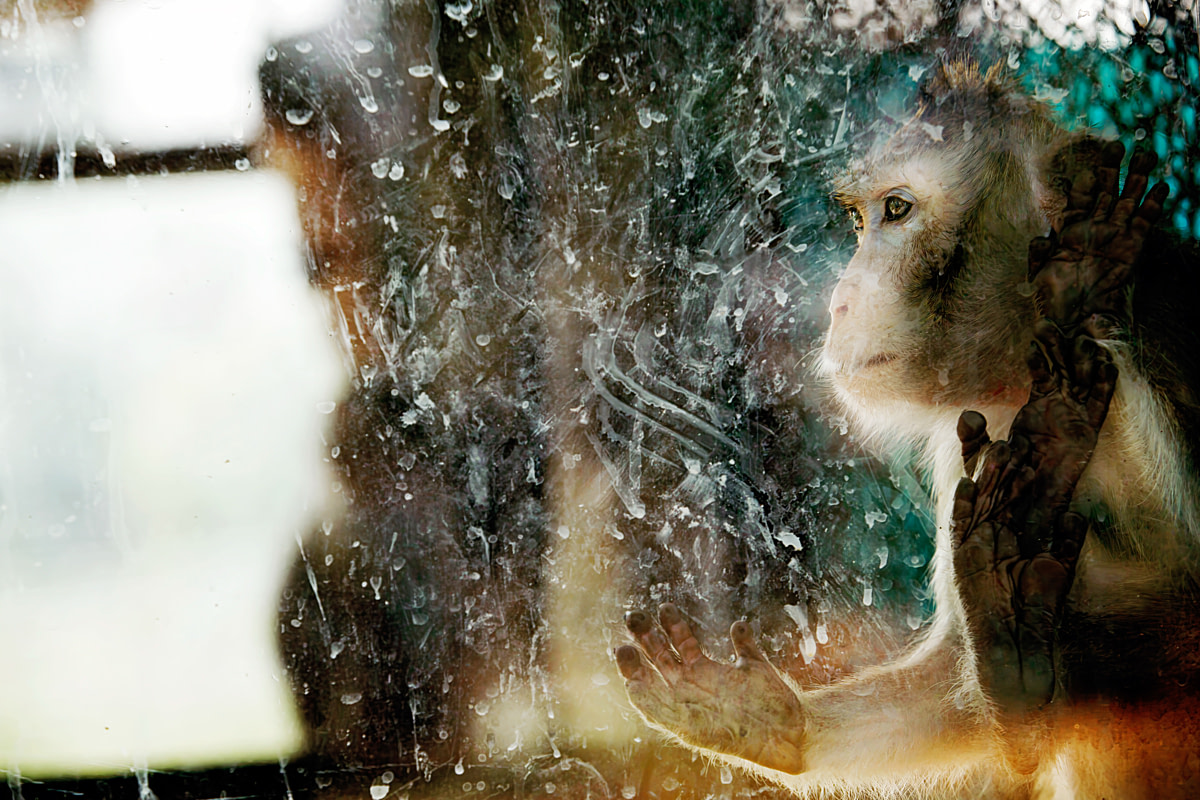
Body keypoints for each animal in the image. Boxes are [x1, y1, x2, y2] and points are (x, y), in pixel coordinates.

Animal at [617, 61, 1200, 799]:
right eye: (862, 218)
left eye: (897, 210)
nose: (840, 299)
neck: (1020, 373)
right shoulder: (970, 439)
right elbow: (952, 680)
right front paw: (767, 719)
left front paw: (1081, 292)